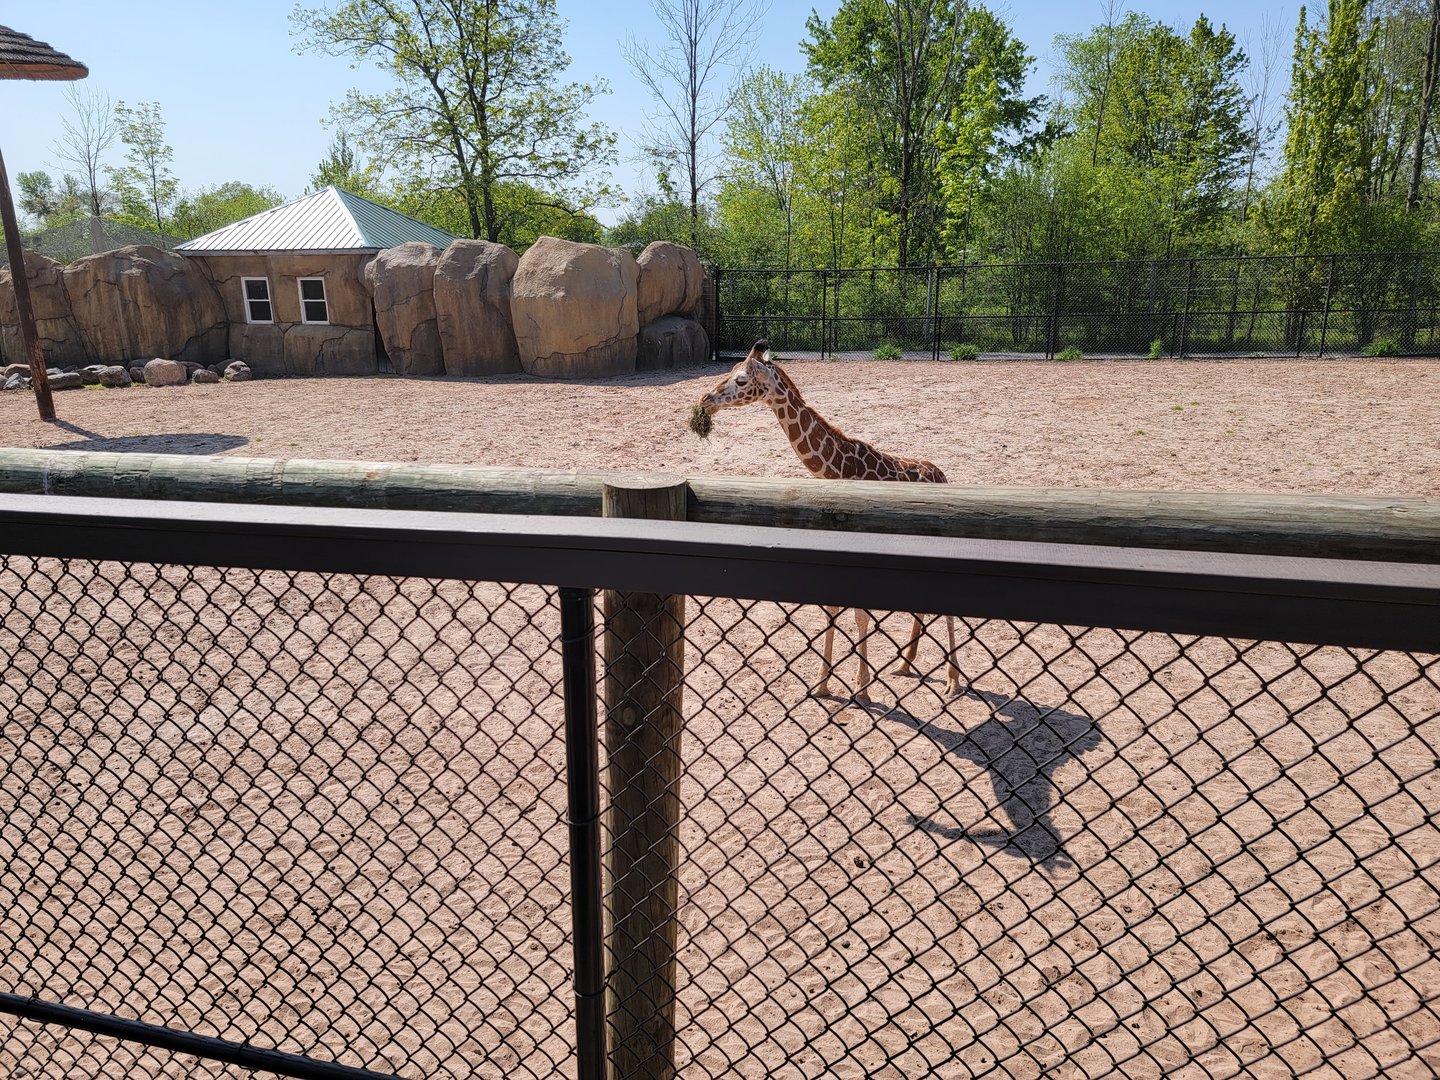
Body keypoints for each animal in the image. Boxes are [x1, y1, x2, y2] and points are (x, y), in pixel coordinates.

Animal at [696, 339, 962, 702]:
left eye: (740, 379)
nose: (705, 400)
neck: (840, 469)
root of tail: (942, 474)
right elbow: (831, 609)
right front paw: (822, 684)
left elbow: (860, 615)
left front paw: (861, 689)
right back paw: (905, 664)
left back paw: (953, 681)